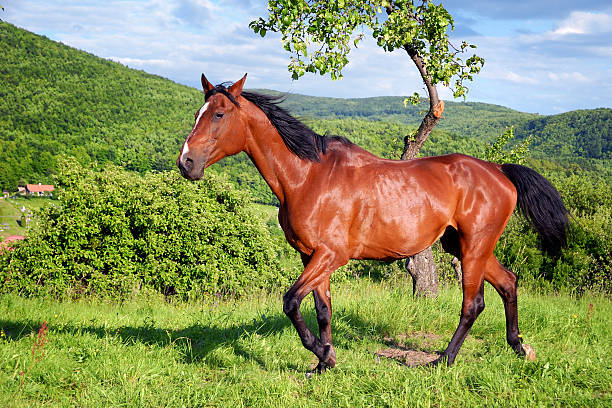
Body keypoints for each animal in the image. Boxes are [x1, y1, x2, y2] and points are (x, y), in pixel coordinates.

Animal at [176, 74, 568, 372]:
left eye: (219, 114)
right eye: (197, 112)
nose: (186, 163)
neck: (308, 177)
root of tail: (499, 170)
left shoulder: (331, 255)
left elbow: (290, 302)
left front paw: (322, 353)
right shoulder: (312, 257)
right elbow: (322, 310)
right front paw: (324, 363)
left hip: (474, 248)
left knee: (473, 305)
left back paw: (443, 360)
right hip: (463, 246)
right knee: (508, 283)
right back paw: (520, 347)